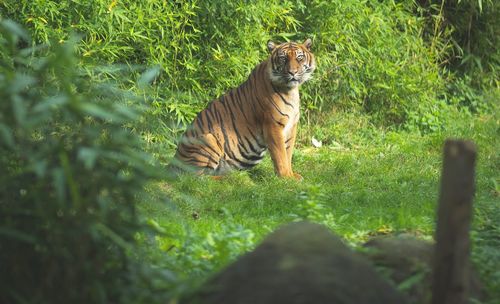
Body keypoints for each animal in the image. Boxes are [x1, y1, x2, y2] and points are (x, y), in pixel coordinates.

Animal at [172, 39, 316, 179]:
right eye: (283, 58)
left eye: (299, 57)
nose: (293, 72)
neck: (290, 90)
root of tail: (173, 161)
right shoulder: (273, 125)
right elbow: (280, 154)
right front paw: (286, 177)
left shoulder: (291, 126)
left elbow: (288, 153)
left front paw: (292, 174)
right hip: (209, 139)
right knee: (196, 178)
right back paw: (228, 178)